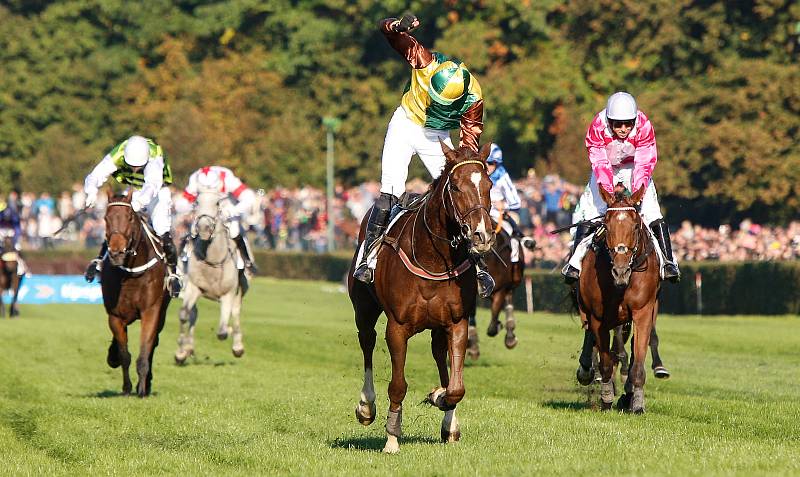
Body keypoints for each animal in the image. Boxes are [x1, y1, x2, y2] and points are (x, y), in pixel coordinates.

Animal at [101, 192, 170, 396]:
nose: (116, 253)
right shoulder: (115, 316)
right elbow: (124, 355)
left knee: (153, 345)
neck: (131, 273)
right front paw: (126, 387)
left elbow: (144, 352)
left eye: (130, 217)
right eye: (106, 218)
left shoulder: (151, 311)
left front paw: (141, 389)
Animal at [175, 184, 247, 362]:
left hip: (240, 290)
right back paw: (188, 348)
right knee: (193, 314)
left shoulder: (228, 293)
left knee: (235, 312)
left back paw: (237, 346)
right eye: (196, 202)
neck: (213, 259)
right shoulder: (193, 287)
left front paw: (230, 334)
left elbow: (222, 331)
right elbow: (184, 314)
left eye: (217, 203)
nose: (203, 228)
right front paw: (181, 352)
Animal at [350, 139, 494, 452]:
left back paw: (448, 420)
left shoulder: (457, 322)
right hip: (364, 309)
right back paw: (366, 406)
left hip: (438, 325)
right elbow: (397, 385)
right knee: (367, 342)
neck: (432, 258)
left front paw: (440, 400)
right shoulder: (397, 327)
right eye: (456, 187)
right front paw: (392, 438)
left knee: (440, 355)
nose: (482, 235)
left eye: (488, 185)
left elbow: (456, 386)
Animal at [580, 184, 660, 410]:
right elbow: (605, 361)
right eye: (606, 227)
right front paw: (606, 397)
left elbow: (638, 361)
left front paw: (637, 402)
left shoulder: (643, 312)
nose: (620, 271)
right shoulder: (598, 317)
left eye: (635, 227)